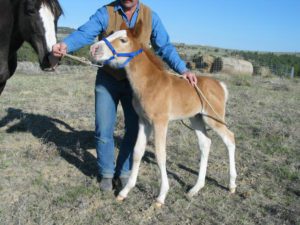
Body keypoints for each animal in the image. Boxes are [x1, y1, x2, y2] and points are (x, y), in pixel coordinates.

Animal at [91, 23, 237, 206]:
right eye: (110, 34)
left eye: (123, 40)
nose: (94, 49)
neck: (150, 83)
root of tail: (220, 85)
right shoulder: (144, 121)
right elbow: (137, 152)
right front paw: (124, 192)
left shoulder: (160, 122)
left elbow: (161, 154)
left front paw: (161, 196)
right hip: (196, 119)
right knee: (206, 143)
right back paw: (195, 188)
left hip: (213, 119)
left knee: (230, 138)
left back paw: (232, 185)